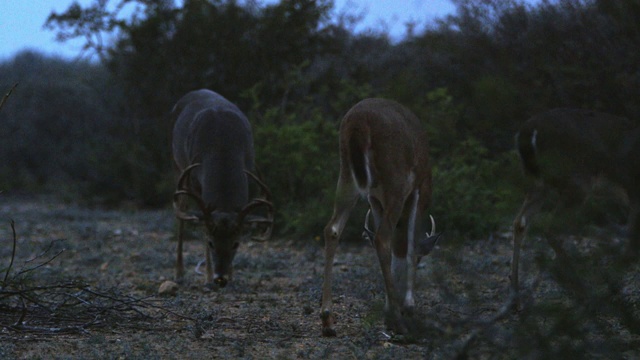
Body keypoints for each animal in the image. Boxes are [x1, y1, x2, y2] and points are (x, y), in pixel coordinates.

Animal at [170, 88, 272, 288]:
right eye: (211, 243)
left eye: (236, 244)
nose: (220, 278)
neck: (222, 145)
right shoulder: (195, 179)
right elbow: (202, 226)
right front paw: (208, 276)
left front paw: (232, 275)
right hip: (179, 167)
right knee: (181, 210)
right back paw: (179, 272)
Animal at [320, 97, 440, 336]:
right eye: (422, 259)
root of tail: (358, 121)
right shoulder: (420, 188)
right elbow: (410, 243)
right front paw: (407, 307)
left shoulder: (375, 199)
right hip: (396, 179)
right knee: (382, 237)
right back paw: (398, 319)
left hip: (347, 174)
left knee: (333, 228)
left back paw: (327, 319)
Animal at [510, 108, 640, 300]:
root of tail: (527, 131)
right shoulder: (634, 191)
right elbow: (631, 246)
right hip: (576, 181)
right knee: (550, 227)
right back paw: (581, 289)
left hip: (539, 183)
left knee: (520, 222)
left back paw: (515, 292)